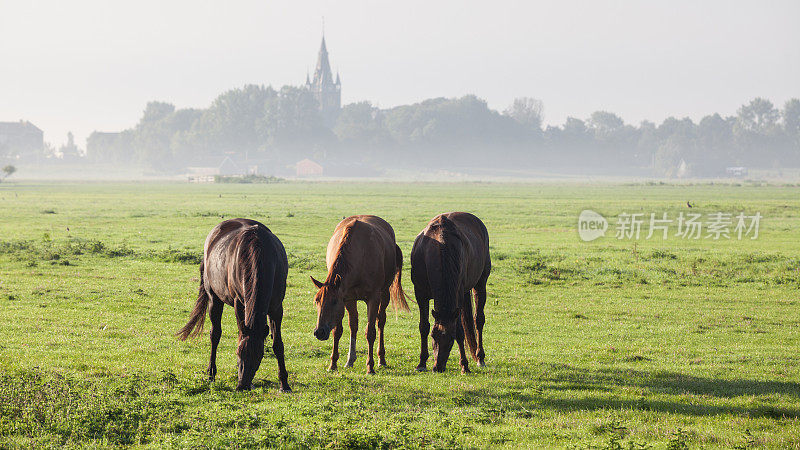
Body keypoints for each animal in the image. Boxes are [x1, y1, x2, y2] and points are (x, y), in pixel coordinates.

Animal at [177, 218, 292, 390]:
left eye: (259, 356)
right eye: (238, 353)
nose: (242, 385)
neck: (260, 254)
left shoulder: (277, 307)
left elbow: (277, 344)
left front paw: (284, 384)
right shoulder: (239, 303)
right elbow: (239, 334)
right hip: (214, 299)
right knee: (215, 334)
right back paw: (211, 373)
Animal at [310, 214, 410, 372]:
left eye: (334, 302)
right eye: (317, 302)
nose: (319, 332)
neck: (359, 254)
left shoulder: (373, 298)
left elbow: (370, 332)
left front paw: (370, 367)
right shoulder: (347, 298)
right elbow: (340, 330)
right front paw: (333, 363)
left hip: (385, 294)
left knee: (381, 321)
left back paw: (381, 359)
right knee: (354, 325)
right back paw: (350, 360)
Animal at [410, 213, 490, 374]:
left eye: (451, 340)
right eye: (433, 336)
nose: (438, 367)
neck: (440, 245)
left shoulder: (457, 296)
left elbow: (460, 331)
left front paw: (464, 365)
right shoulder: (420, 294)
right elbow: (423, 326)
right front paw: (421, 363)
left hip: (479, 284)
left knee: (478, 320)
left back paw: (480, 358)